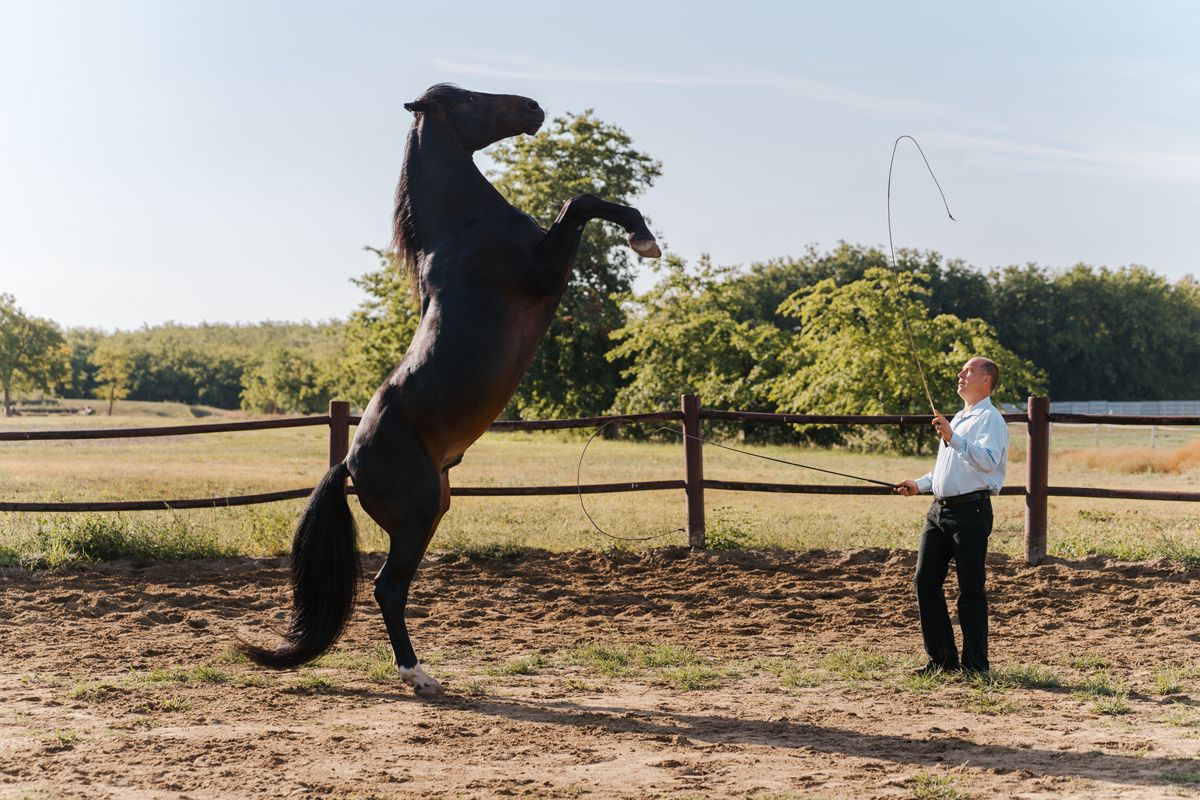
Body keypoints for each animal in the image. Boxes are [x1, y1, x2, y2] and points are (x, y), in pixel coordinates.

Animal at [239, 84, 661, 697]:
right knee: (388, 588)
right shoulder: (545, 271)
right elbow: (581, 201)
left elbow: (582, 202)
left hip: (433, 513)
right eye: (466, 98)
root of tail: (349, 462)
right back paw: (419, 676)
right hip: (415, 519)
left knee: (393, 588)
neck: (465, 232)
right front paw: (643, 238)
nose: (532, 107)